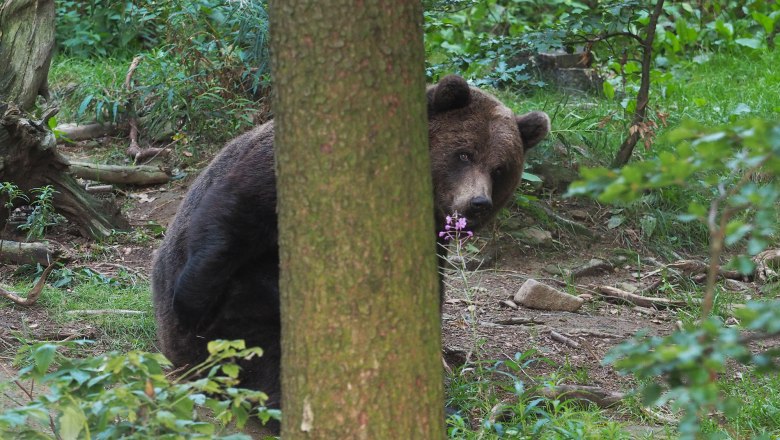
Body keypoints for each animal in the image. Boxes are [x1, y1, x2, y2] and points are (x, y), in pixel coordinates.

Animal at [151, 74, 548, 414]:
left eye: (500, 169)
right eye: (464, 154)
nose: (477, 203)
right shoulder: (279, 179)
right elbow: (230, 221)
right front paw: (189, 304)